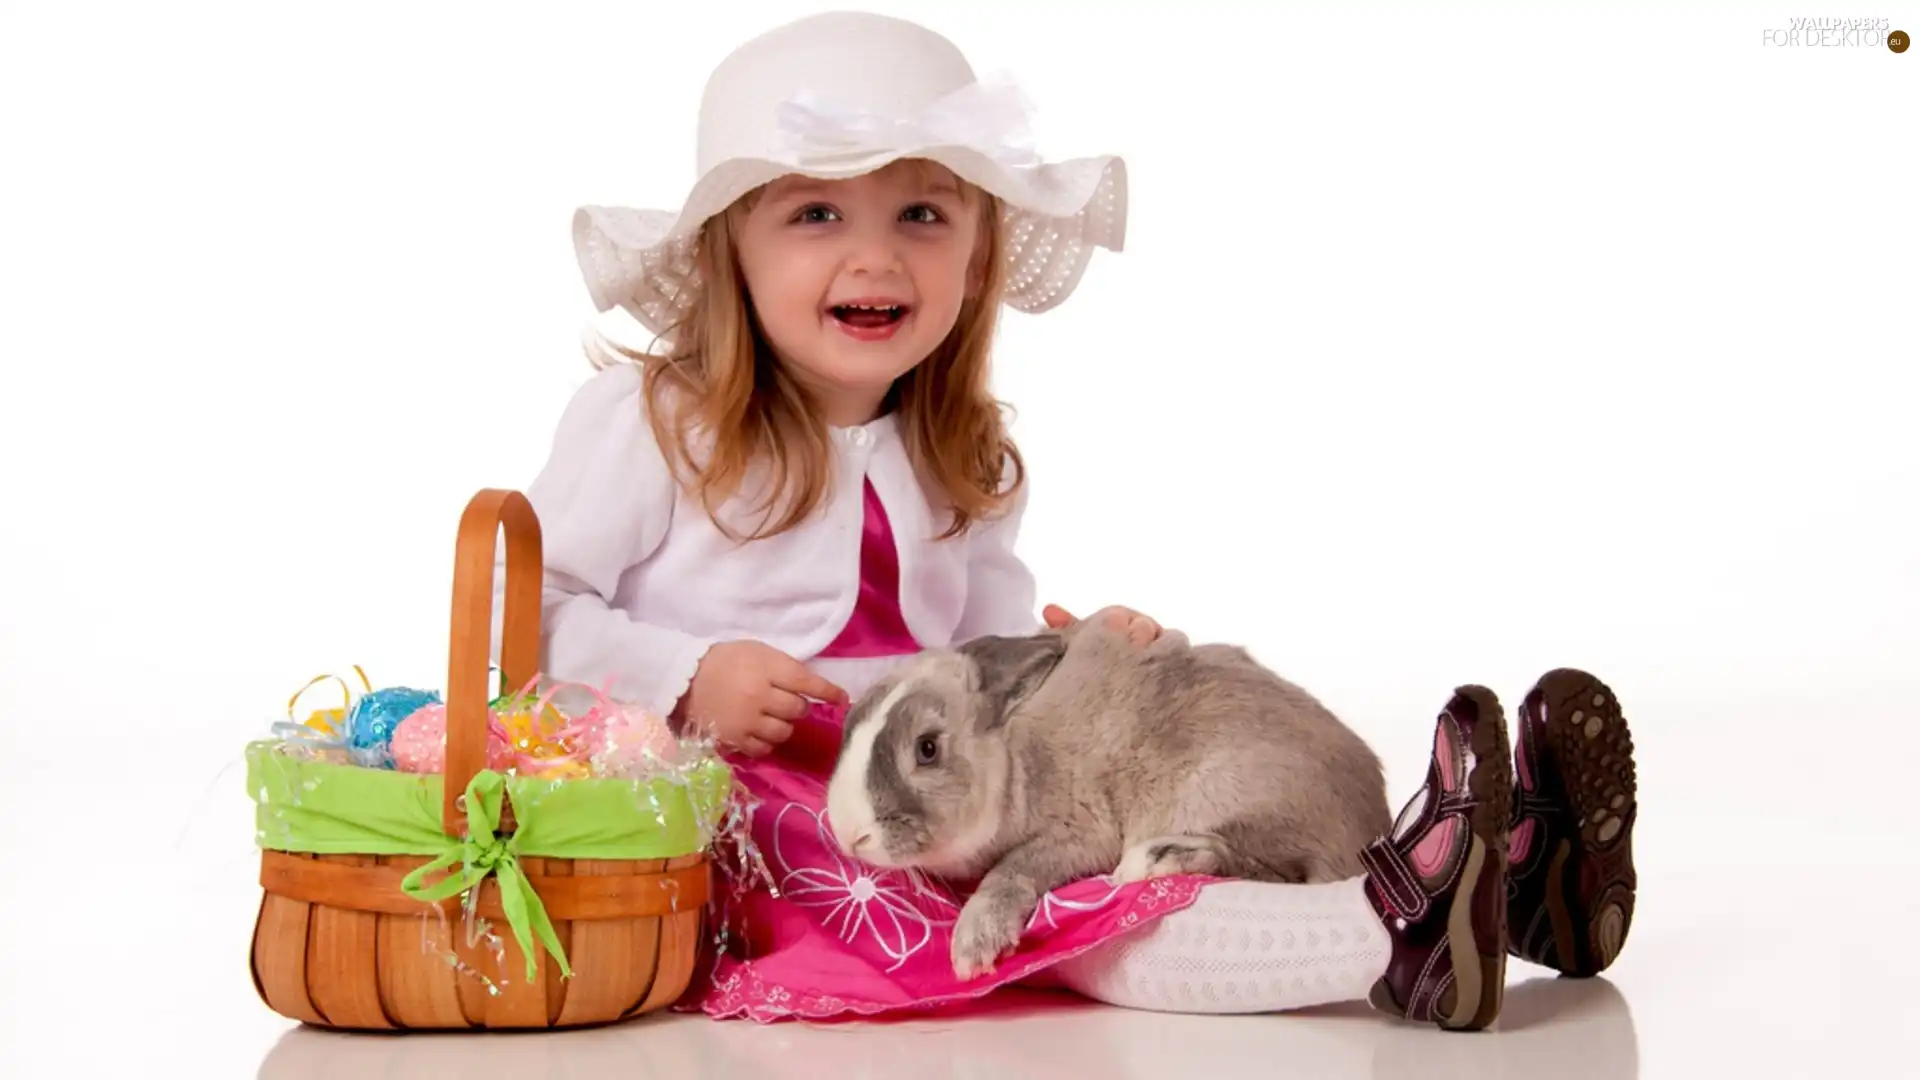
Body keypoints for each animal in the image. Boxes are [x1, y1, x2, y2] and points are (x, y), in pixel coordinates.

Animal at [817, 614, 1390, 976]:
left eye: (928, 749)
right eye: (851, 721)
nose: (849, 835)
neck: (1013, 755)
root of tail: (1372, 828)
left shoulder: (1077, 834)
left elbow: (1011, 870)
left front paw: (973, 947)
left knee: (1277, 872)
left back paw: (1154, 860)